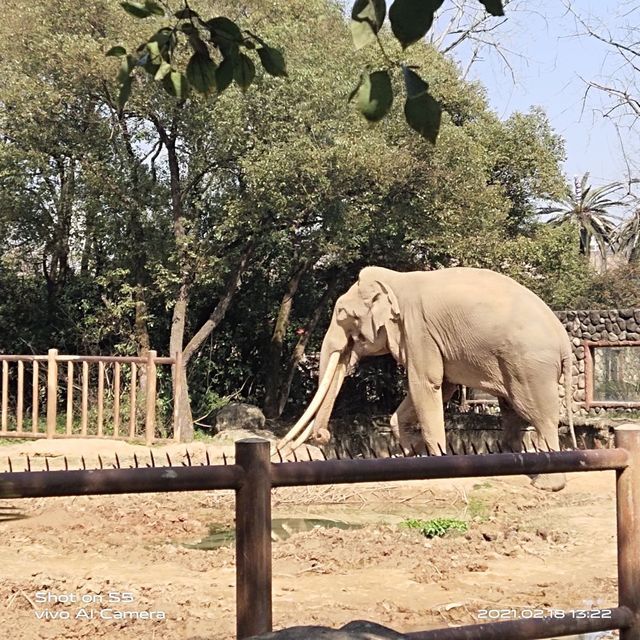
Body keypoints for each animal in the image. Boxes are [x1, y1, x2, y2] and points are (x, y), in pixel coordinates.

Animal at [278, 264, 576, 490]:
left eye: (342, 314)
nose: (323, 436)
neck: (395, 281)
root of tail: (564, 341)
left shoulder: (418, 329)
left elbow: (425, 383)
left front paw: (436, 464)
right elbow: (440, 387)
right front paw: (411, 454)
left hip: (531, 366)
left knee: (538, 414)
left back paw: (547, 484)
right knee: (512, 411)